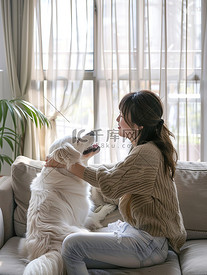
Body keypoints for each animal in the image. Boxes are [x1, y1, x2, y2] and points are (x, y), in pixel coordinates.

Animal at [23, 132, 116, 275]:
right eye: (77, 139)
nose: (93, 132)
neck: (64, 172)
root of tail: (51, 248)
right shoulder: (83, 217)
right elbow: (96, 216)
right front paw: (107, 207)